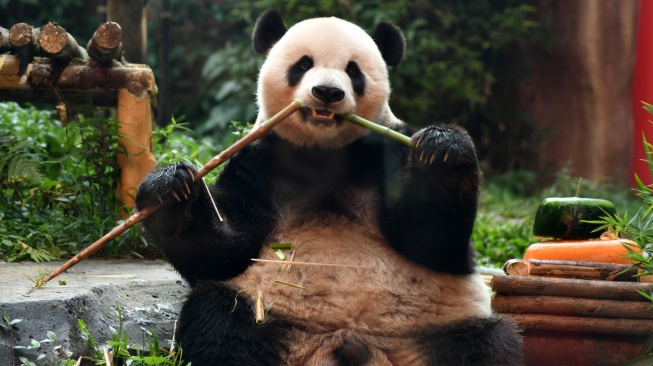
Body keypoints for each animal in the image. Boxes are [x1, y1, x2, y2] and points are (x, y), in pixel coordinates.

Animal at [135, 10, 524, 366]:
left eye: (353, 71)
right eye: (303, 64)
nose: (327, 92)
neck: (324, 152)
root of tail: (352, 345)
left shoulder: (385, 151)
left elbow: (431, 238)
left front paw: (443, 152)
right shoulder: (259, 162)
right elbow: (226, 248)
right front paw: (169, 190)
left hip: (436, 327)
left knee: (487, 344)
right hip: (266, 311)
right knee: (219, 322)